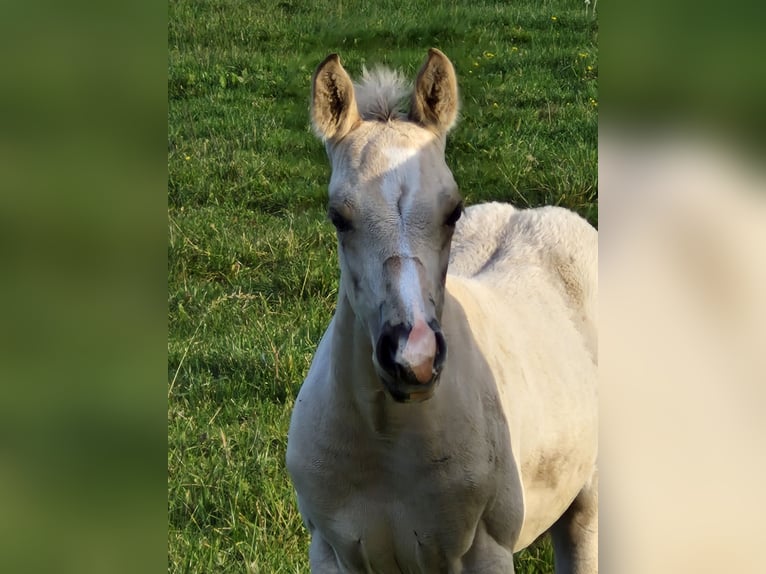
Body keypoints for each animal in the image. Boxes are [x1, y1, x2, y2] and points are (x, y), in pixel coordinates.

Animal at [288, 50, 600, 574]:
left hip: (588, 506)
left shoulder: (485, 551)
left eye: (452, 210)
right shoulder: (330, 551)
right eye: (338, 218)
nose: (412, 358)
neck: (388, 440)